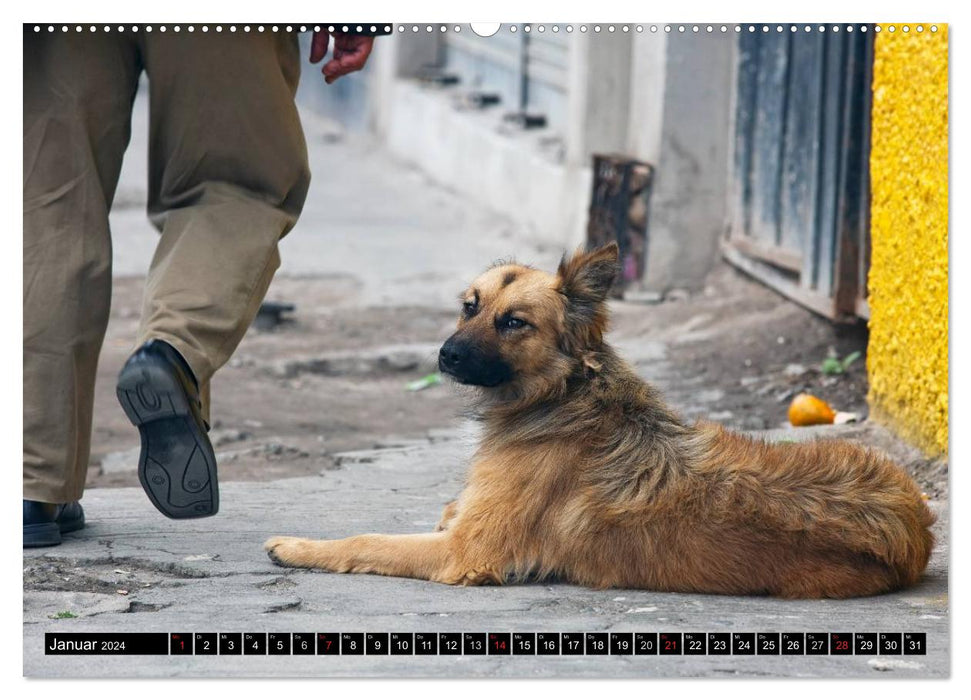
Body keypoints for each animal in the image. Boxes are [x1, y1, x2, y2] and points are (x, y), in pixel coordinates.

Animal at [264, 243, 936, 600]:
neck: (562, 395)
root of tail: (916, 524)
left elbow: (365, 540)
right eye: (470, 308)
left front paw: (298, 547)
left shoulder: (465, 552)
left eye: (514, 322)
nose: (445, 356)